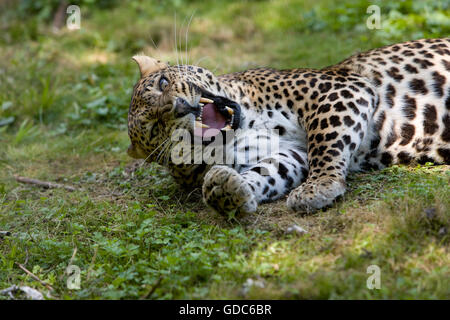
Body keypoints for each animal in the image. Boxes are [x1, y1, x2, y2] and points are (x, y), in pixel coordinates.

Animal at [126, 38, 450, 218]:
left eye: (163, 83)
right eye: (156, 129)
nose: (180, 107)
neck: (248, 123)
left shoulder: (339, 90)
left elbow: (325, 141)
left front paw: (319, 186)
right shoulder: (291, 153)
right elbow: (269, 171)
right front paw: (227, 190)